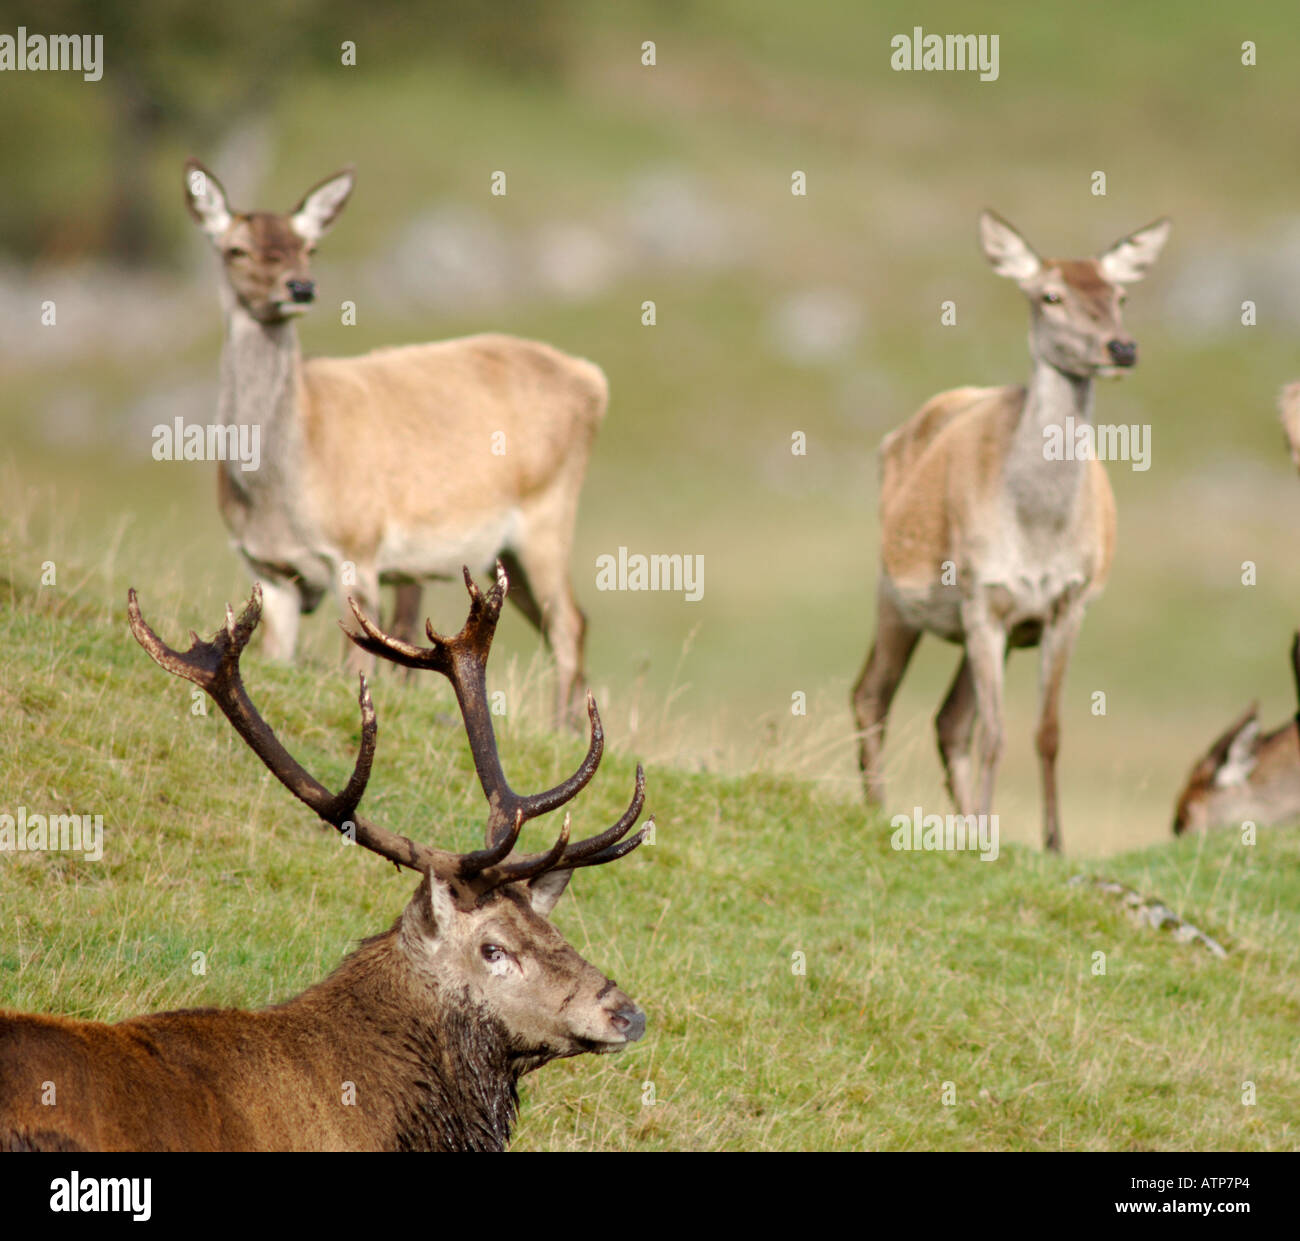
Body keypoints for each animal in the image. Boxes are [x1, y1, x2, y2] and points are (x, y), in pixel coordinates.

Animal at [185, 162, 605, 727]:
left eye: (309, 246)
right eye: (237, 249)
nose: (300, 286)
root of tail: (593, 380)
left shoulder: (358, 549)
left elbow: (357, 665)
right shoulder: (268, 570)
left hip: (548, 518)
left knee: (568, 625)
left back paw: (559, 729)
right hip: (507, 552)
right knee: (567, 623)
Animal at [852, 210, 1170, 852]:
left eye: (1121, 295)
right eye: (1050, 295)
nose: (1122, 347)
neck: (1037, 528)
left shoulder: (1067, 603)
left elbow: (1046, 731)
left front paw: (1052, 843)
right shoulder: (981, 596)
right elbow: (996, 733)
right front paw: (992, 833)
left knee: (948, 719)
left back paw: (967, 823)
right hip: (895, 593)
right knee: (872, 694)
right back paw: (882, 809)